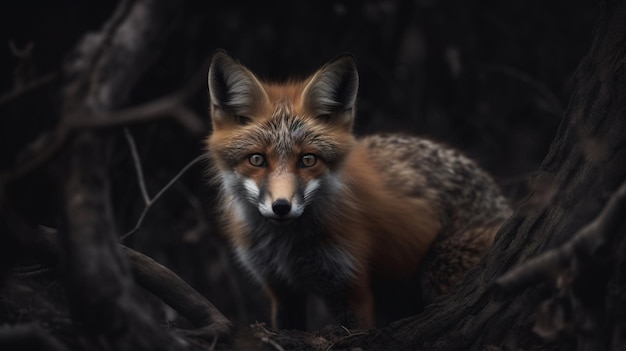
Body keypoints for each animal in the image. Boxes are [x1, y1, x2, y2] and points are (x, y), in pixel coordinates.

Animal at [207, 51, 510, 332]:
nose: (281, 206)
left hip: (437, 269)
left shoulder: (351, 287)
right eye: (257, 159)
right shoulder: (281, 290)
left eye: (308, 160)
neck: (286, 249)